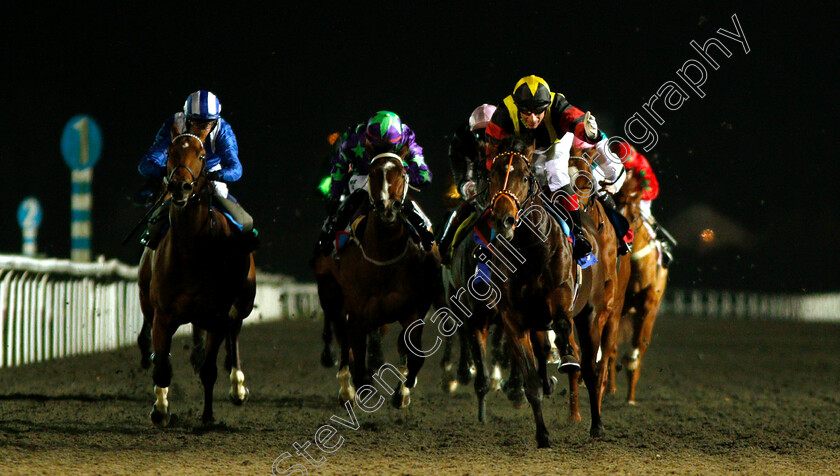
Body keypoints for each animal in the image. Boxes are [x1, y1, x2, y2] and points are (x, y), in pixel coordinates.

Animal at [136, 123, 256, 428]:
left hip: (242, 304)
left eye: (202, 156)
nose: (180, 186)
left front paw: (208, 416)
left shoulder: (217, 315)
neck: (192, 251)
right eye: (169, 152)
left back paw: (238, 387)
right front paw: (160, 410)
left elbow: (209, 370)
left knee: (234, 334)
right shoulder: (163, 315)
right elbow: (162, 365)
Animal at [314, 154, 442, 408]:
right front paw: (361, 388)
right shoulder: (357, 312)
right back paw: (345, 387)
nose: (387, 208)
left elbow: (413, 353)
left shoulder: (414, 309)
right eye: (373, 173)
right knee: (342, 337)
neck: (383, 256)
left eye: (401, 173)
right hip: (330, 293)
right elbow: (358, 357)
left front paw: (403, 389)